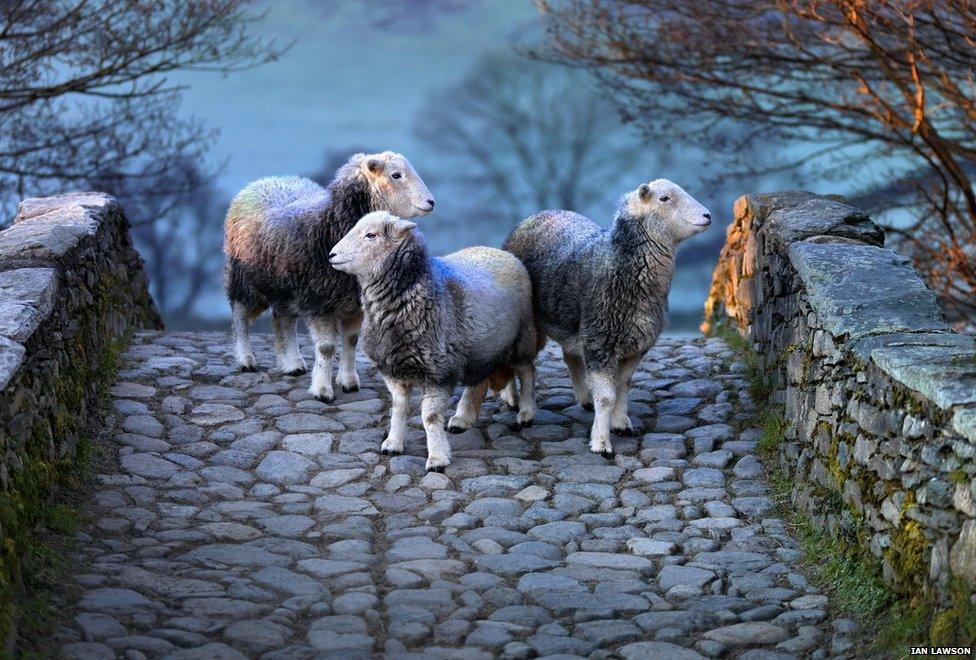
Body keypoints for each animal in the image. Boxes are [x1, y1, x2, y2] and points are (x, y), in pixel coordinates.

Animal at [223, 151, 436, 402]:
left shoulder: (353, 304)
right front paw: (323, 390)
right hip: (244, 278)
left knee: (283, 319)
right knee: (240, 315)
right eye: (396, 175)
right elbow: (326, 348)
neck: (329, 226)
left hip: (285, 287)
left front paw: (348, 381)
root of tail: (267, 179)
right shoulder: (319, 301)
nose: (431, 202)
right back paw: (246, 359)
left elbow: (351, 342)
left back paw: (292, 363)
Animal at [332, 211, 536, 470]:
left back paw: (526, 413)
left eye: (371, 235)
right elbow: (399, 408)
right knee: (478, 381)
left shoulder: (438, 371)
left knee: (527, 371)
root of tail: (502, 252)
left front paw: (437, 457)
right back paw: (463, 418)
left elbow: (429, 417)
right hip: (478, 348)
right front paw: (393, 443)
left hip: (522, 337)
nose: (331, 255)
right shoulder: (394, 369)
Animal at [504, 180, 708, 458]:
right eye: (664, 198)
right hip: (528, 322)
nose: (707, 215)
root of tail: (534, 215)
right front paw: (601, 442)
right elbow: (606, 397)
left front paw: (620, 423)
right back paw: (520, 406)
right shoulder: (601, 342)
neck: (617, 263)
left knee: (569, 356)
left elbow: (622, 387)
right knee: (522, 365)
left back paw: (582, 397)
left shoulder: (634, 346)